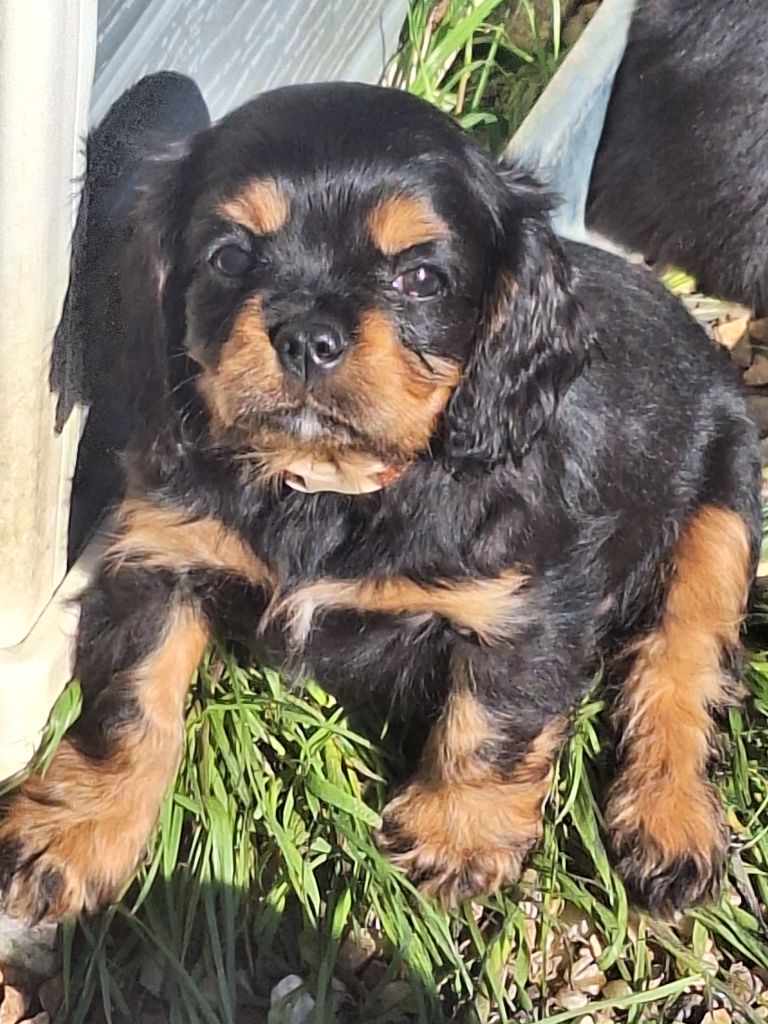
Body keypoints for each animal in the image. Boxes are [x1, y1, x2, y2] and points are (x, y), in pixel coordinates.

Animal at [0, 80, 760, 923]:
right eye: (230, 257)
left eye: (421, 279)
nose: (306, 336)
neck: (327, 484)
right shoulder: (162, 552)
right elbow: (132, 704)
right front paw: (78, 830)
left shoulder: (530, 605)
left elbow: (490, 723)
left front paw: (456, 838)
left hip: (725, 505)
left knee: (680, 666)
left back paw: (669, 821)